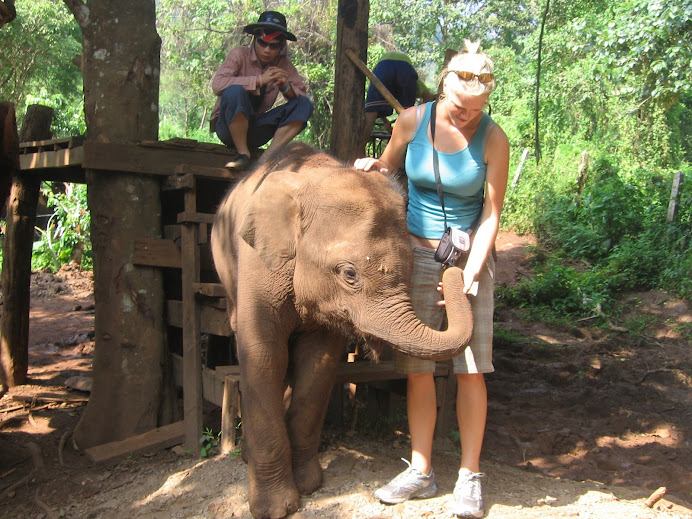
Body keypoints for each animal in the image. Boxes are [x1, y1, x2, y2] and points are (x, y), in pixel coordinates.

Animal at [211, 143, 470, 519]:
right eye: (349, 274)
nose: (453, 267)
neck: (314, 178)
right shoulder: (258, 265)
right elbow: (263, 354)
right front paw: (276, 509)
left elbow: (319, 364)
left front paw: (309, 485)